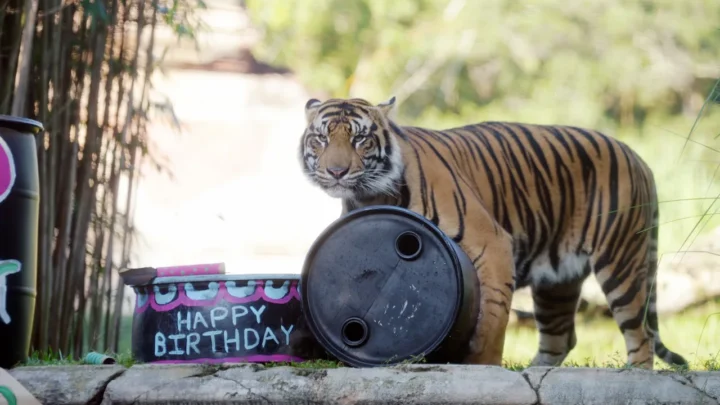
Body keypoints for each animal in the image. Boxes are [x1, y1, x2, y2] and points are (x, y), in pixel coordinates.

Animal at [298, 96, 688, 369]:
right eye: (320, 139)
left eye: (361, 140)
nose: (336, 171)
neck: (372, 193)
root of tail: (636, 155)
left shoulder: (493, 245)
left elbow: (493, 318)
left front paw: (482, 364)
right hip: (557, 281)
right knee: (561, 337)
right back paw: (533, 371)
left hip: (621, 262)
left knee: (641, 334)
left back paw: (634, 373)